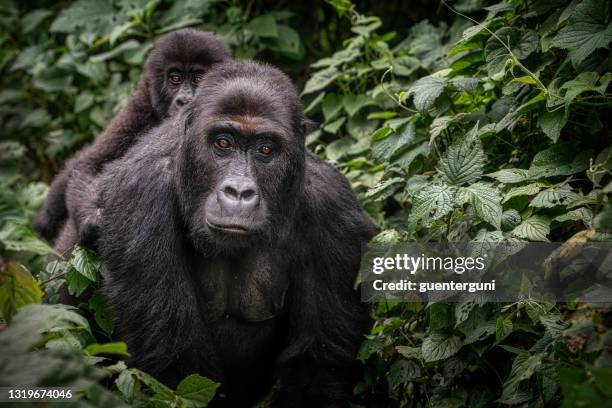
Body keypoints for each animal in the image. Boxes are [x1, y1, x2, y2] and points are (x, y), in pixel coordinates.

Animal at [35, 27, 232, 252]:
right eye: (175, 78)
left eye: (199, 79)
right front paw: (91, 222)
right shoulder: (139, 108)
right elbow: (90, 164)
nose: (184, 100)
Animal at [93, 59, 376, 406]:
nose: (239, 192)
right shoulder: (140, 194)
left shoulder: (333, 207)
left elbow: (317, 365)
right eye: (223, 143)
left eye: (265, 150)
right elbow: (175, 367)